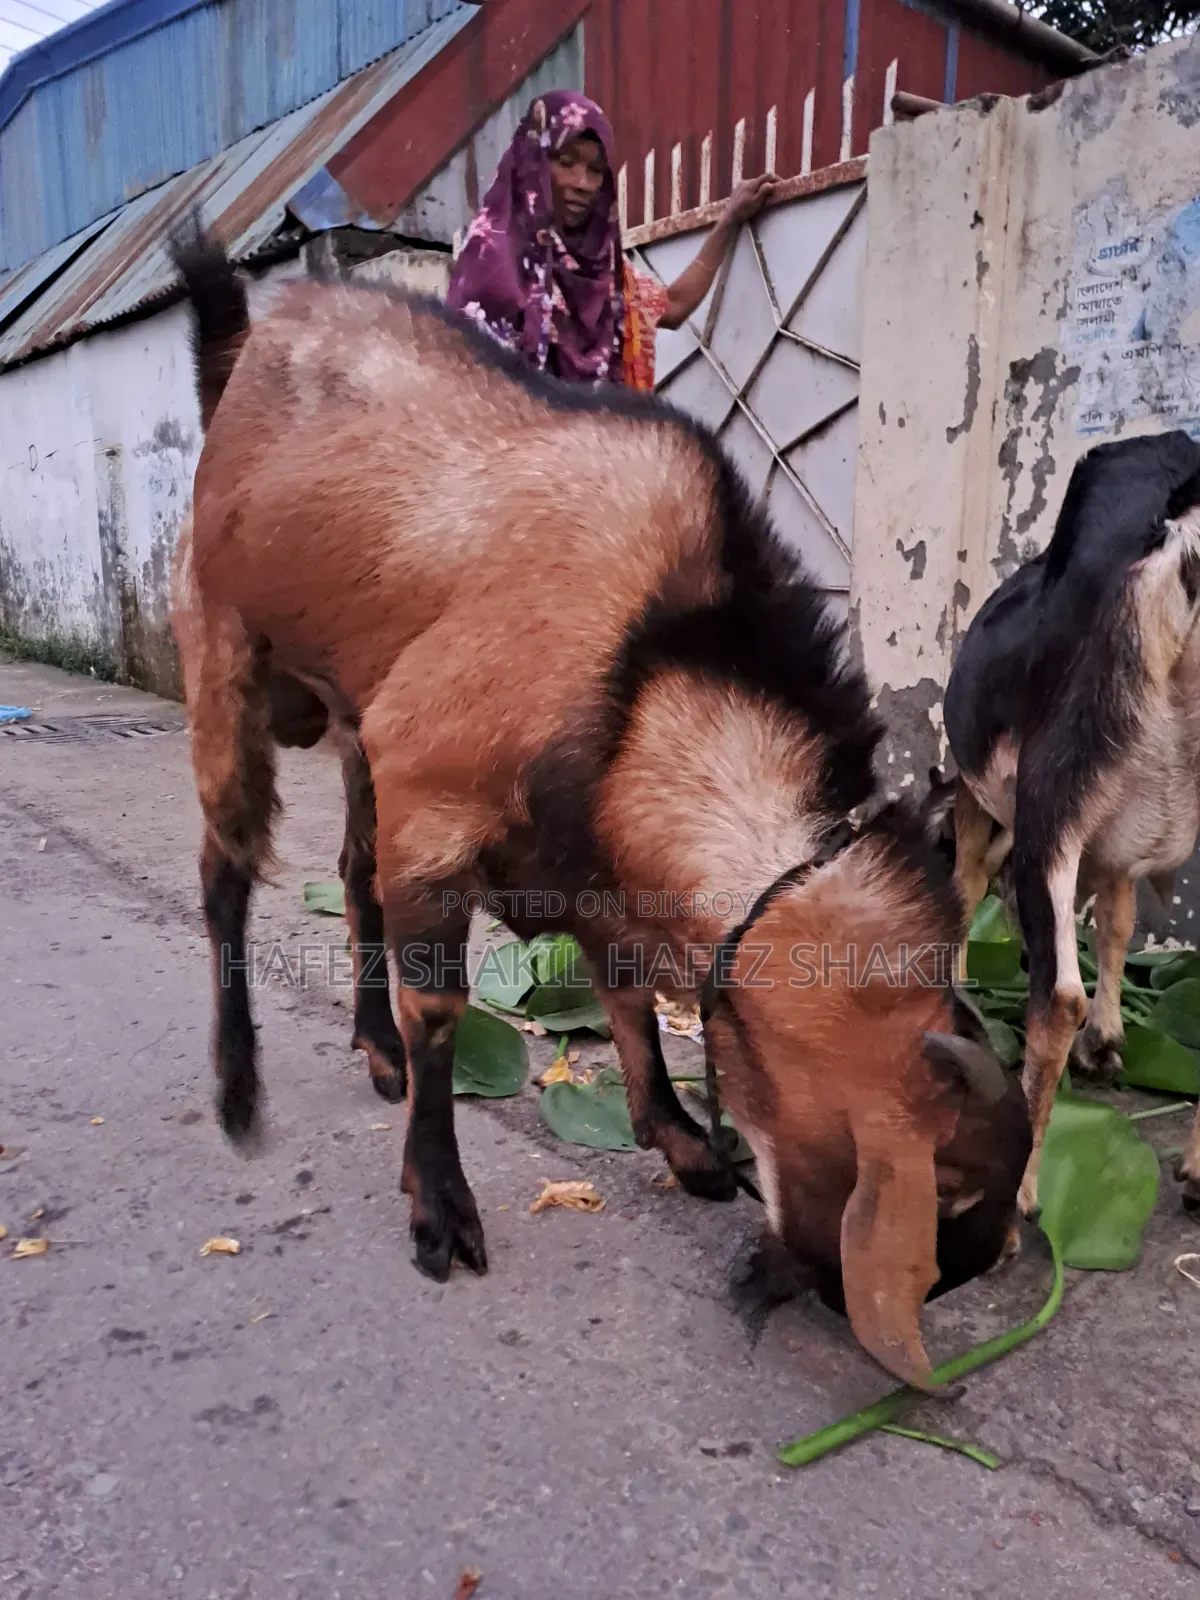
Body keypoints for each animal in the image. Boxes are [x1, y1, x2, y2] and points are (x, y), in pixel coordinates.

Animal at [168, 224, 1030, 1388]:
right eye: (947, 1190)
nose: (811, 1284)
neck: (646, 660)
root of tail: (250, 351)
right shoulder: (434, 792)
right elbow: (442, 1006)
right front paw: (439, 1208)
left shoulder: (573, 844)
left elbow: (627, 987)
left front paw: (680, 1139)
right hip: (221, 650)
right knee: (226, 870)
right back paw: (239, 1089)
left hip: (354, 720)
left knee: (348, 874)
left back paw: (372, 1052)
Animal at [944, 431, 1200, 1216]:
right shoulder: (1116, 847)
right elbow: (1116, 922)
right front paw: (1110, 1038)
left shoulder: (980, 796)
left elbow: (964, 887)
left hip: (1048, 806)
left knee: (1055, 998)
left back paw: (1017, 1194)